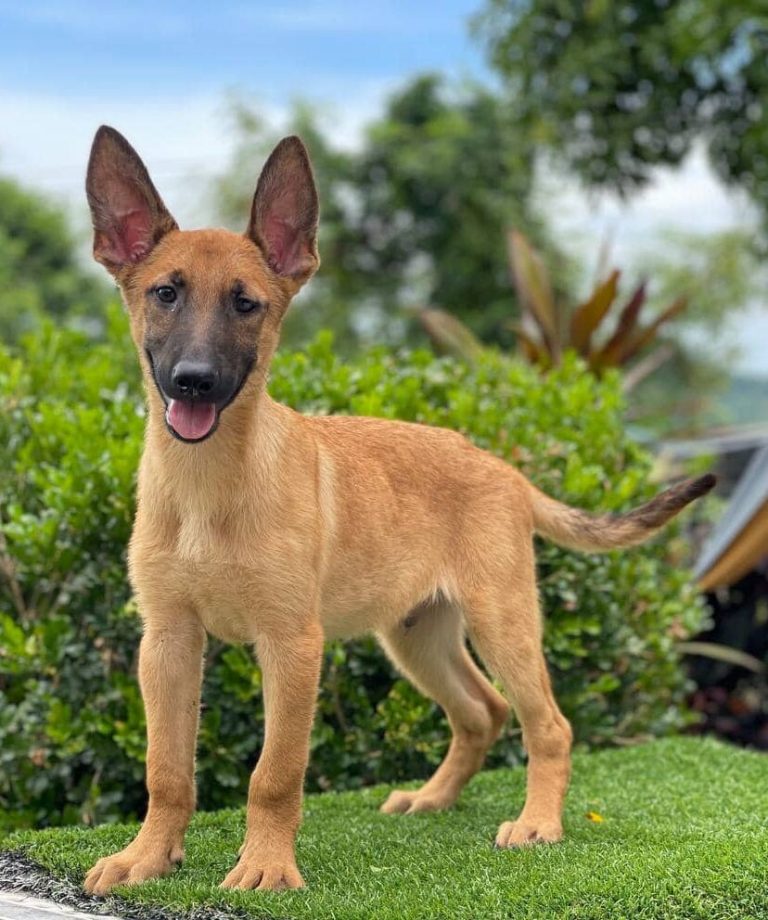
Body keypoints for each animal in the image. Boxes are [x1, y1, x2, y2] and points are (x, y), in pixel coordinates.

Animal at [81, 125, 714, 894]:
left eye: (246, 305)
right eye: (165, 294)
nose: (193, 382)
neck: (210, 488)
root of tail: (505, 469)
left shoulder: (291, 645)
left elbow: (275, 774)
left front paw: (265, 866)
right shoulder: (168, 643)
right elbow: (167, 769)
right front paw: (148, 856)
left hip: (502, 620)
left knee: (547, 725)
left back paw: (538, 823)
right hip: (417, 635)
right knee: (482, 712)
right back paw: (434, 799)